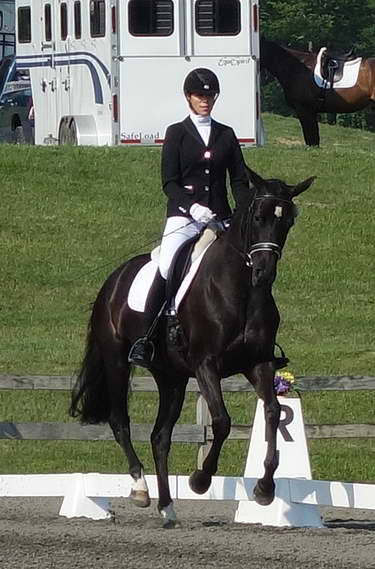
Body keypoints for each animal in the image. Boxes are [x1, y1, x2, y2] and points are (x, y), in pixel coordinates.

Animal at [70, 166, 314, 524]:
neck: (241, 290)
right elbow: (222, 421)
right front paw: (200, 479)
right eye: (258, 217)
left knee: (160, 436)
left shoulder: (259, 363)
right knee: (120, 422)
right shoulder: (206, 364)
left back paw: (167, 507)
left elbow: (272, 412)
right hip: (117, 361)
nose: (263, 273)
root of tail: (113, 280)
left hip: (171, 376)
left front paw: (265, 489)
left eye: (288, 222)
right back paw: (141, 489)